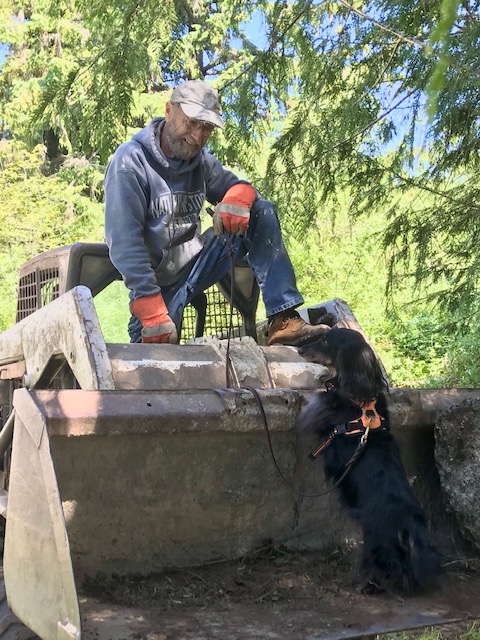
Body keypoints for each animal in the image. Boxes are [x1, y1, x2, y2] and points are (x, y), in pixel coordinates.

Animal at [298, 330, 440, 596]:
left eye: (326, 341)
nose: (300, 350)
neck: (362, 402)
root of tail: (408, 523)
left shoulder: (320, 410)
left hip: (377, 545)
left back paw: (370, 585)